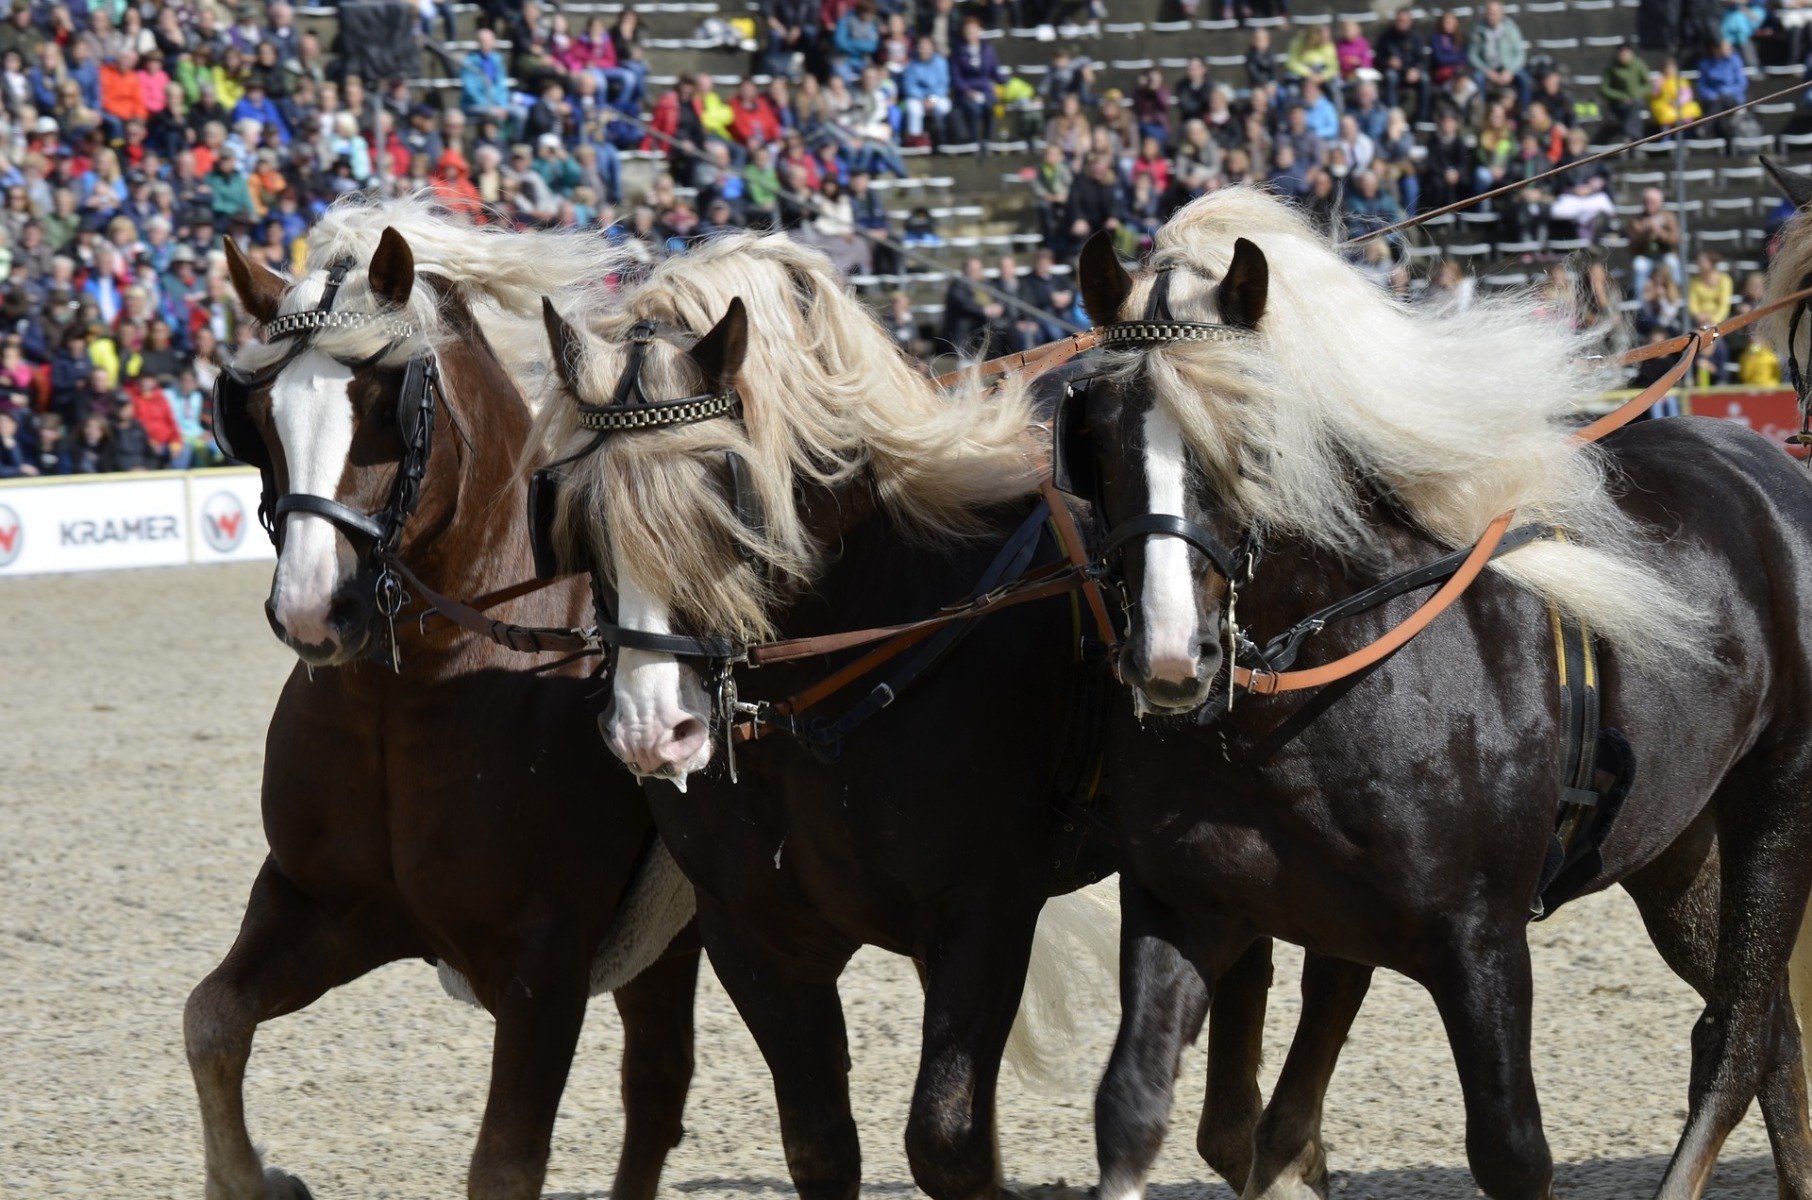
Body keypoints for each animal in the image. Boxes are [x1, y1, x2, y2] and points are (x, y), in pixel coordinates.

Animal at [183, 202, 692, 1196]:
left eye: (389, 402)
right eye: (255, 414)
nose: (312, 610)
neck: (409, 693)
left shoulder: (546, 967)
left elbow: (504, 1162)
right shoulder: (324, 909)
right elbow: (211, 1021)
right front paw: (256, 1179)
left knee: (657, 1086)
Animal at [1065, 181, 1812, 1200]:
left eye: (1251, 433)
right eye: (1098, 435)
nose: (1172, 660)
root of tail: (1770, 469)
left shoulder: (1480, 944)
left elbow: (1510, 1150)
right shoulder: (1188, 911)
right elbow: (1137, 1108)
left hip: (1777, 807)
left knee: (1736, 1042)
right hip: (1679, 849)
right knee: (1772, 1033)